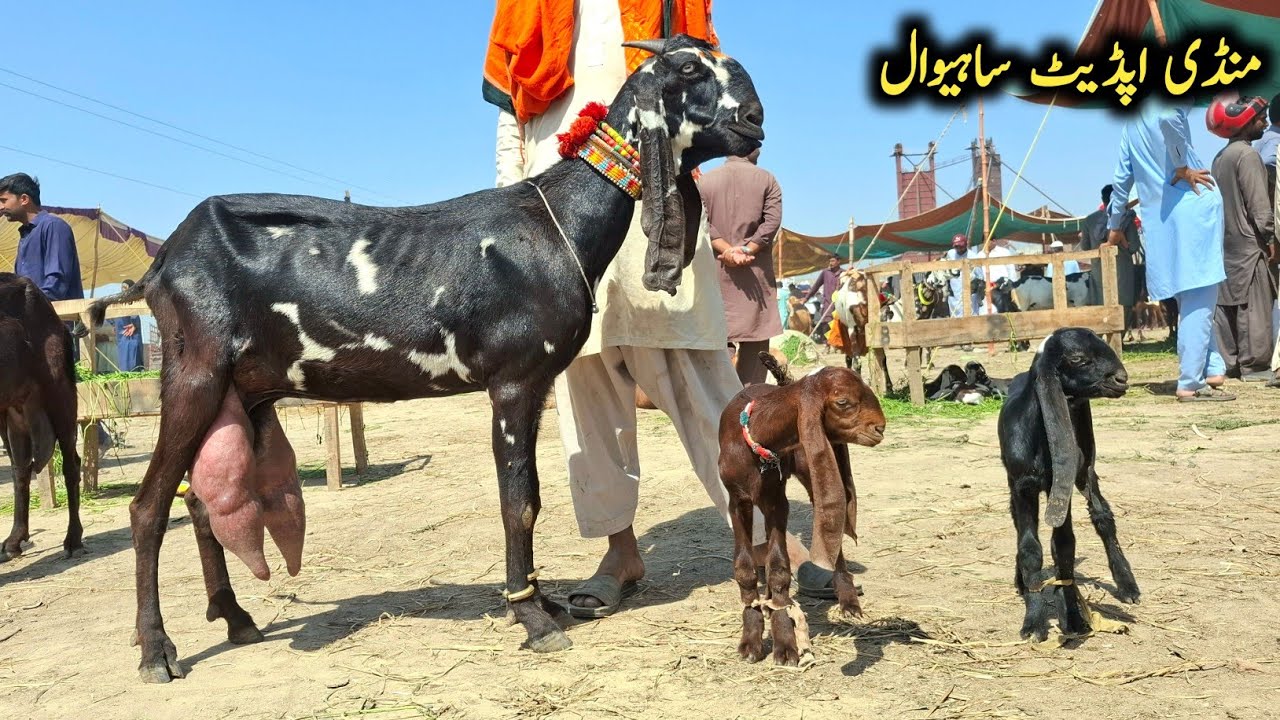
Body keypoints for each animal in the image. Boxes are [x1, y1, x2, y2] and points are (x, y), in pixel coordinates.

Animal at [0, 273, 84, 561]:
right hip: (12, 413)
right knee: (21, 469)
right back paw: (14, 540)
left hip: (60, 395)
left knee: (71, 464)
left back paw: (73, 539)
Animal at [86, 35, 765, 684]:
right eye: (689, 71)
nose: (755, 121)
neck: (558, 221)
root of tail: (162, 262)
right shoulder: (513, 381)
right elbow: (518, 499)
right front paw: (530, 617)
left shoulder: (534, 385)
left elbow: (530, 496)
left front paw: (541, 603)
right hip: (194, 373)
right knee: (148, 508)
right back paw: (157, 651)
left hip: (243, 391)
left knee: (203, 501)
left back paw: (235, 618)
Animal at [717, 353, 885, 665]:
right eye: (843, 401)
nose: (880, 428)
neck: (756, 434)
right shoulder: (738, 500)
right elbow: (745, 568)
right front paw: (751, 638)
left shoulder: (776, 502)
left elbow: (779, 568)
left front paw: (784, 642)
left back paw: (847, 598)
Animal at [997, 327, 1139, 642]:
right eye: (1077, 358)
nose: (1121, 379)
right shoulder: (1021, 486)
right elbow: (1030, 547)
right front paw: (1033, 623)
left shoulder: (1060, 486)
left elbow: (1064, 546)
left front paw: (1072, 618)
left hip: (1086, 468)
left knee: (1103, 517)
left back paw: (1128, 585)